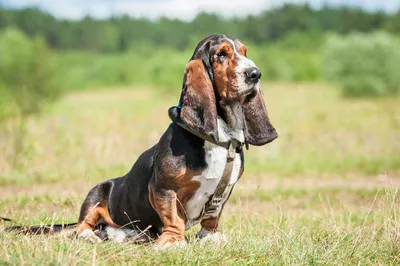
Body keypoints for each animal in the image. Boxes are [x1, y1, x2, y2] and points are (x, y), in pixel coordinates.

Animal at [5, 35, 278, 247]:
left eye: (245, 52)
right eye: (221, 55)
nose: (255, 74)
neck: (221, 135)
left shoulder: (225, 190)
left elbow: (213, 215)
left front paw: (211, 237)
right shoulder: (163, 189)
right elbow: (173, 217)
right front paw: (172, 242)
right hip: (96, 193)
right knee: (83, 225)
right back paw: (91, 236)